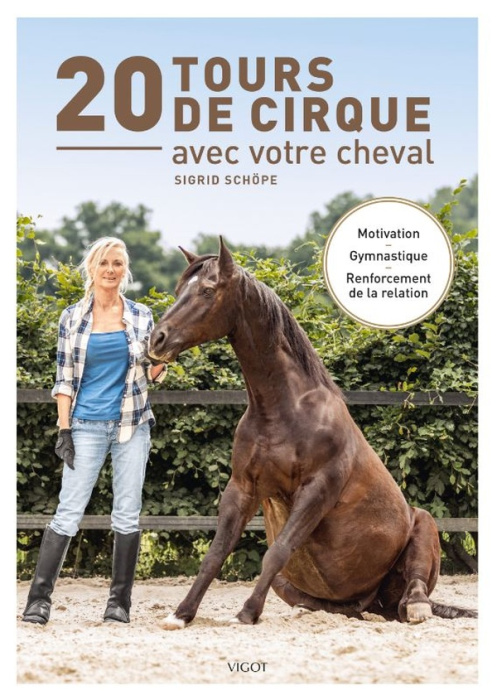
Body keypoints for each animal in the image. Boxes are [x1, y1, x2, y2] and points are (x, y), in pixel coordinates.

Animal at [148, 238, 477, 629]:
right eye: (180, 289)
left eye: (208, 290)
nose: (157, 339)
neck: (284, 412)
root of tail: (377, 600)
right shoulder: (243, 487)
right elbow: (216, 553)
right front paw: (181, 614)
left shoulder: (317, 489)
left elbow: (277, 551)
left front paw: (246, 613)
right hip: (312, 590)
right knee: (345, 608)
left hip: (423, 524)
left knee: (413, 592)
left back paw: (416, 607)